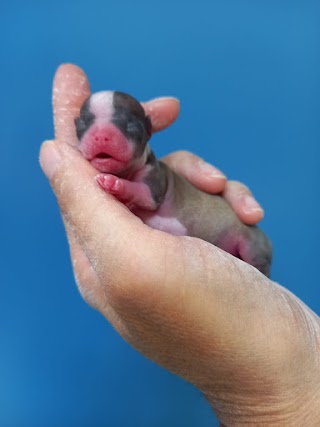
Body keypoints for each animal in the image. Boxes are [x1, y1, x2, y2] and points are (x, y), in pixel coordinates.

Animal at [75, 91, 272, 276]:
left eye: (130, 125)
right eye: (83, 124)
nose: (101, 136)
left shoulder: (155, 178)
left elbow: (143, 193)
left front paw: (116, 184)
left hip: (251, 244)